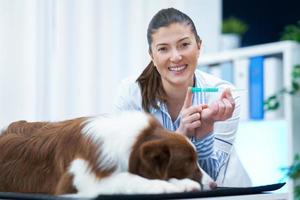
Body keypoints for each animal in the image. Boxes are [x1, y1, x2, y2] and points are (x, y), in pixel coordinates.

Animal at [0, 111, 212, 198]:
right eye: (189, 162)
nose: (213, 185)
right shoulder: (79, 181)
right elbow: (128, 178)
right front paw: (164, 186)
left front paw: (182, 184)